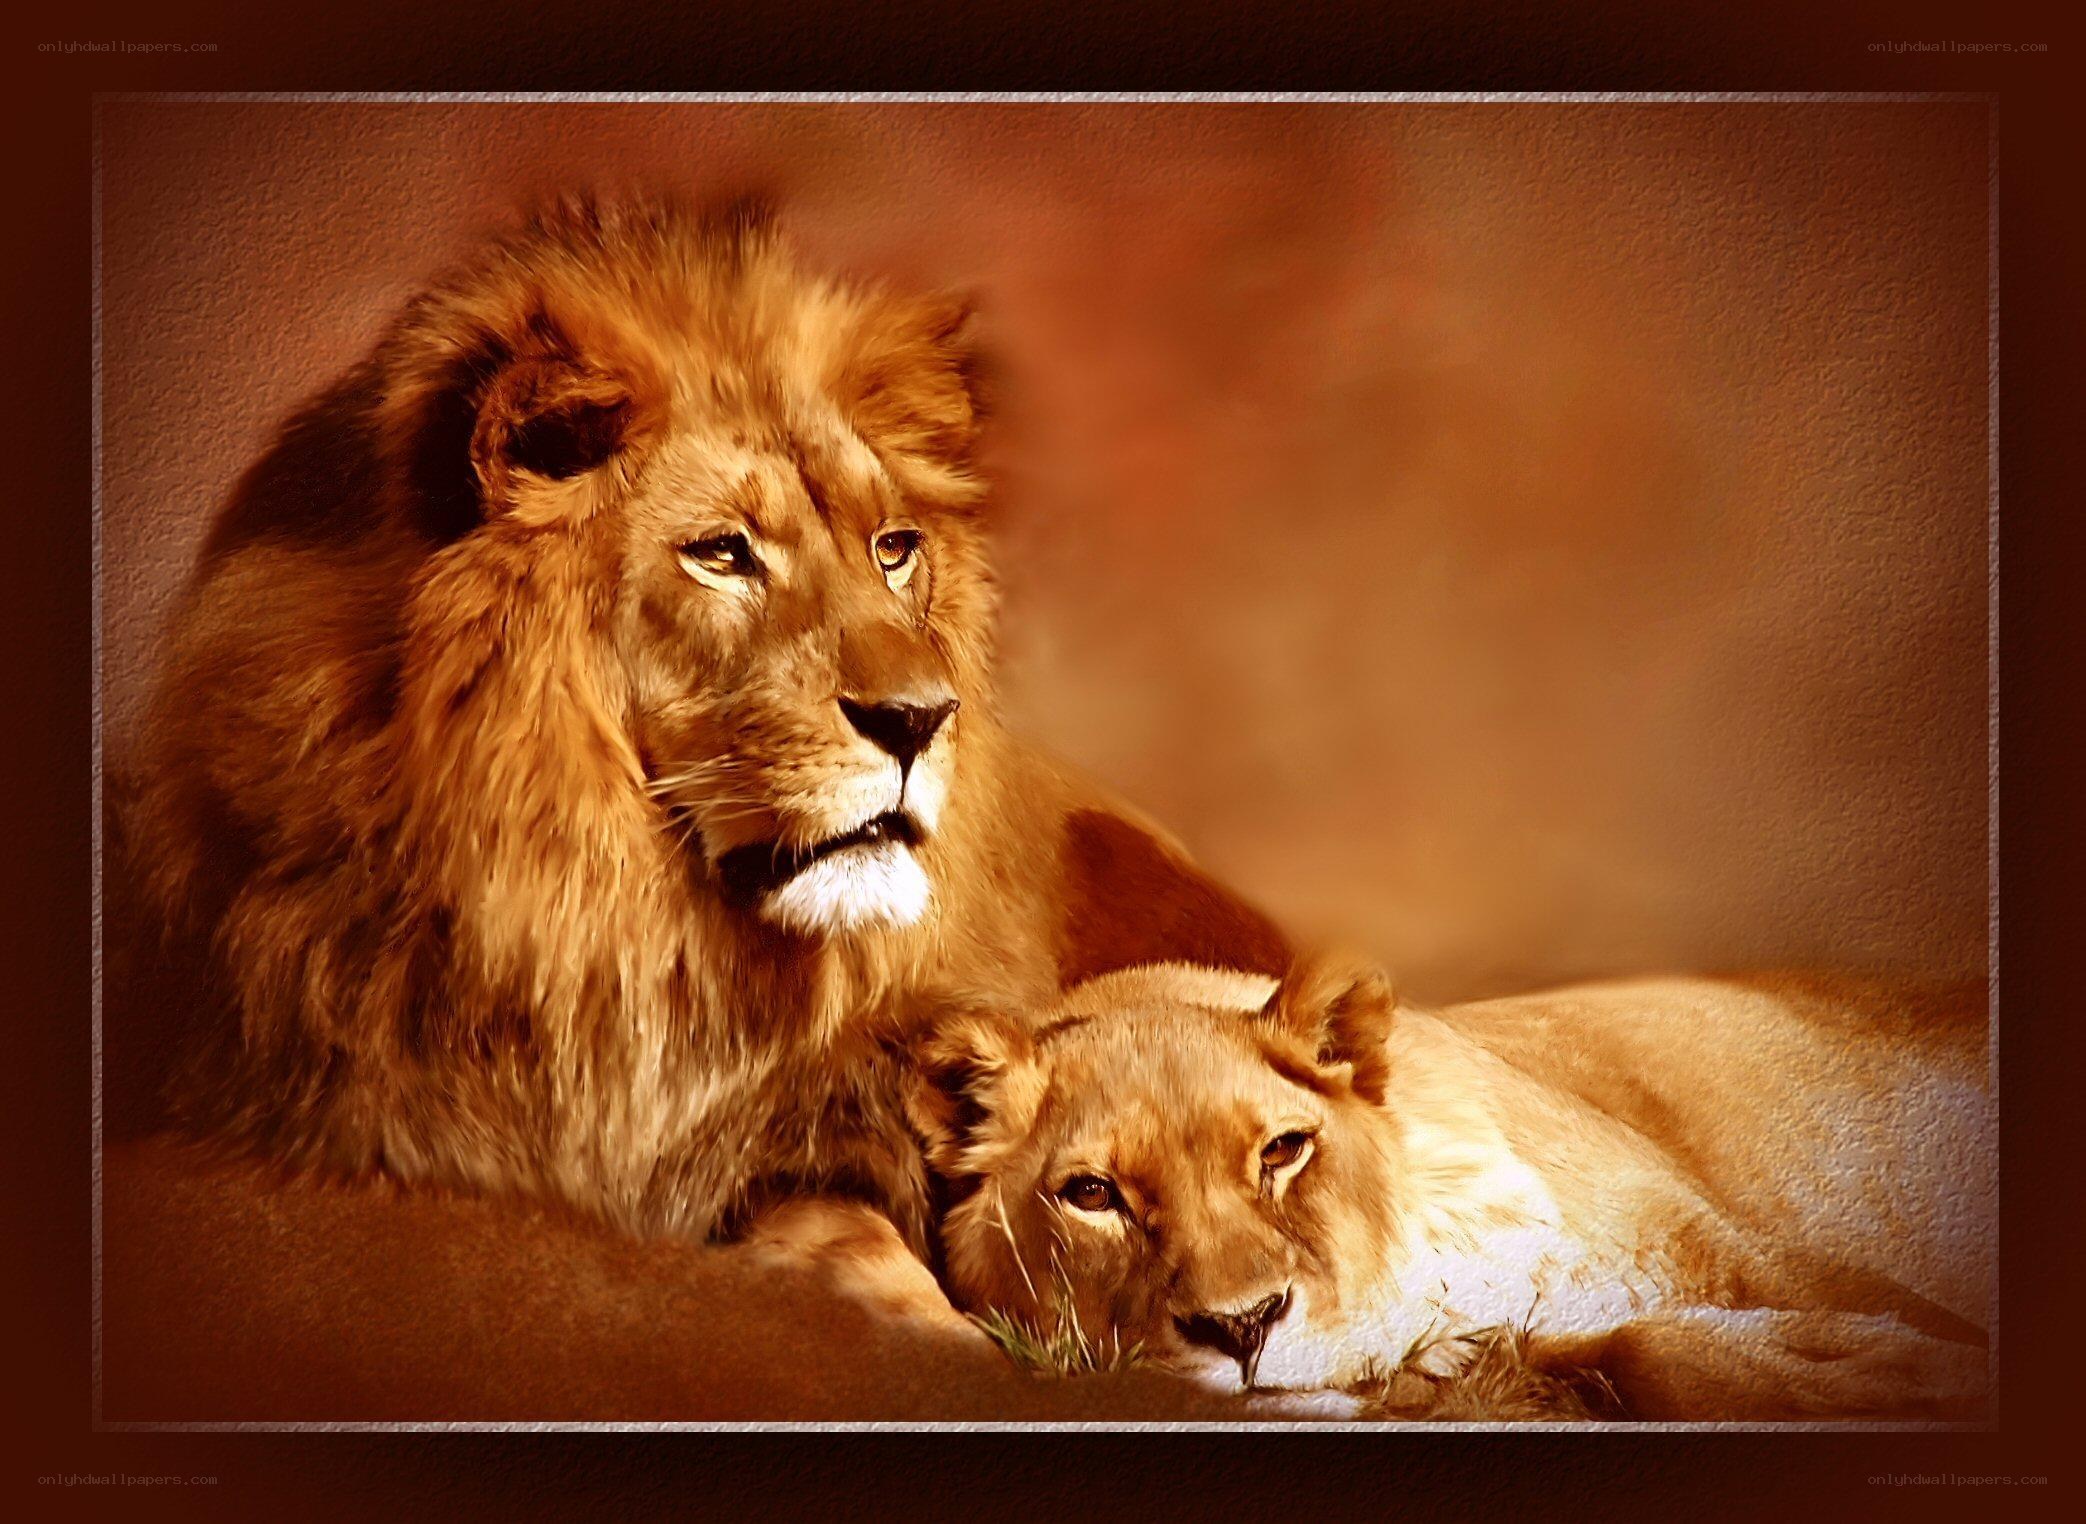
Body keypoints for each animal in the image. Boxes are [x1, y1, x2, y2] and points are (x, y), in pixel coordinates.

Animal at [909, 957, 1993, 1419]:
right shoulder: (1505, 1352)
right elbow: (1640, 1351)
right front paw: (1873, 1371)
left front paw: (1891, 1366)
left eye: (1283, 1150)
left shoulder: (1761, 1249)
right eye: (1091, 1194)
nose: (1243, 1327)